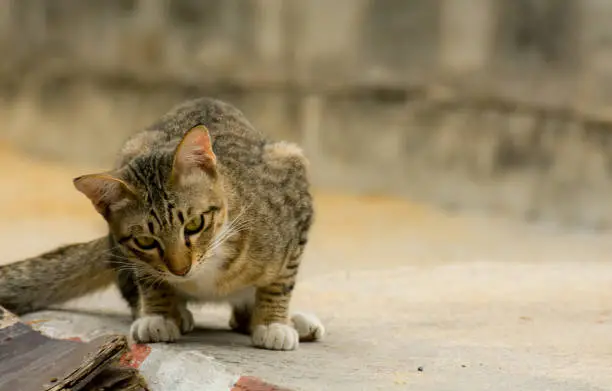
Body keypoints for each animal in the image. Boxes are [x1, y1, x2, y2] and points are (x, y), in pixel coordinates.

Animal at [0, 98, 326, 352]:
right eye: (146, 241)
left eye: (195, 224)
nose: (181, 270)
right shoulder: (135, 255)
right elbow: (149, 278)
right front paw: (159, 315)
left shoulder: (293, 187)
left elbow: (281, 280)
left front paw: (272, 322)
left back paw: (290, 320)